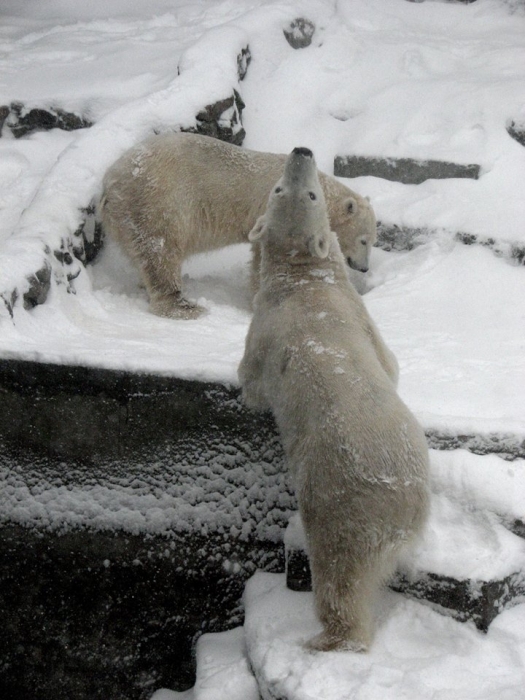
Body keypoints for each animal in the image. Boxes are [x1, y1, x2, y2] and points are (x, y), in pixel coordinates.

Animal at [99, 131, 376, 320]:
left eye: (373, 241)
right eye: (363, 240)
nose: (363, 267)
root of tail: (110, 182)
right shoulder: (271, 213)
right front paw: (257, 299)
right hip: (158, 200)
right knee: (161, 249)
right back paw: (184, 306)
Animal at [239, 146, 428, 652]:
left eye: (310, 193)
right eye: (280, 188)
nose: (302, 151)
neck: (305, 278)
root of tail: (406, 510)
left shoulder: (264, 327)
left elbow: (251, 380)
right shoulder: (361, 316)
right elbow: (390, 364)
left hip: (340, 502)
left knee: (339, 572)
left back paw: (327, 640)